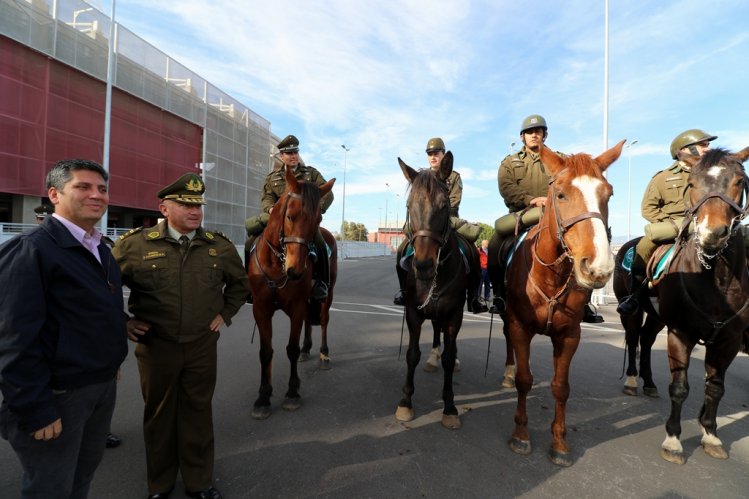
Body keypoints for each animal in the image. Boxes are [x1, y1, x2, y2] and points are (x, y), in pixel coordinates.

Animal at [248, 166, 336, 420]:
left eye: (318, 219)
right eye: (290, 216)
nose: (295, 270)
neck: (276, 263)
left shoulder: (296, 306)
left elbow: (291, 349)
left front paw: (292, 393)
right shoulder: (261, 309)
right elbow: (266, 351)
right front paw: (263, 396)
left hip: (327, 295)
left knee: (323, 321)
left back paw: (323, 354)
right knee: (309, 320)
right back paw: (308, 349)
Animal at [394, 152, 470, 430]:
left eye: (444, 206)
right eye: (409, 206)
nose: (424, 265)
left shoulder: (454, 316)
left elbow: (449, 356)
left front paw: (450, 407)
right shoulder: (414, 313)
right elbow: (412, 354)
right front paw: (406, 402)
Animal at [502, 140, 624, 464]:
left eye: (608, 194)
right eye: (560, 194)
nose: (598, 267)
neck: (551, 276)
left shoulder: (569, 335)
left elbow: (561, 387)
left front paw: (559, 442)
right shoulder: (520, 327)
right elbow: (524, 379)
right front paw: (521, 435)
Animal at [612, 146, 748, 466]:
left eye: (739, 181)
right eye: (693, 183)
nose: (712, 234)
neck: (717, 279)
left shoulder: (729, 340)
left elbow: (715, 387)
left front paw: (710, 434)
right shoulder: (680, 333)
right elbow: (680, 387)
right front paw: (673, 440)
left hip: (658, 318)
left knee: (647, 339)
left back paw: (649, 382)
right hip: (634, 311)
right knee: (634, 339)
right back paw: (633, 381)